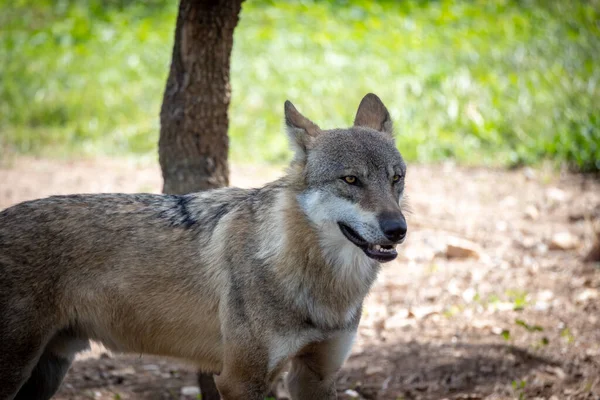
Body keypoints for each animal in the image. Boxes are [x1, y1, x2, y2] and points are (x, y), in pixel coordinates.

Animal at [0, 92, 408, 398]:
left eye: (396, 178)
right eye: (351, 180)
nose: (397, 229)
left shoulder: (317, 375)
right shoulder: (239, 380)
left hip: (47, 373)